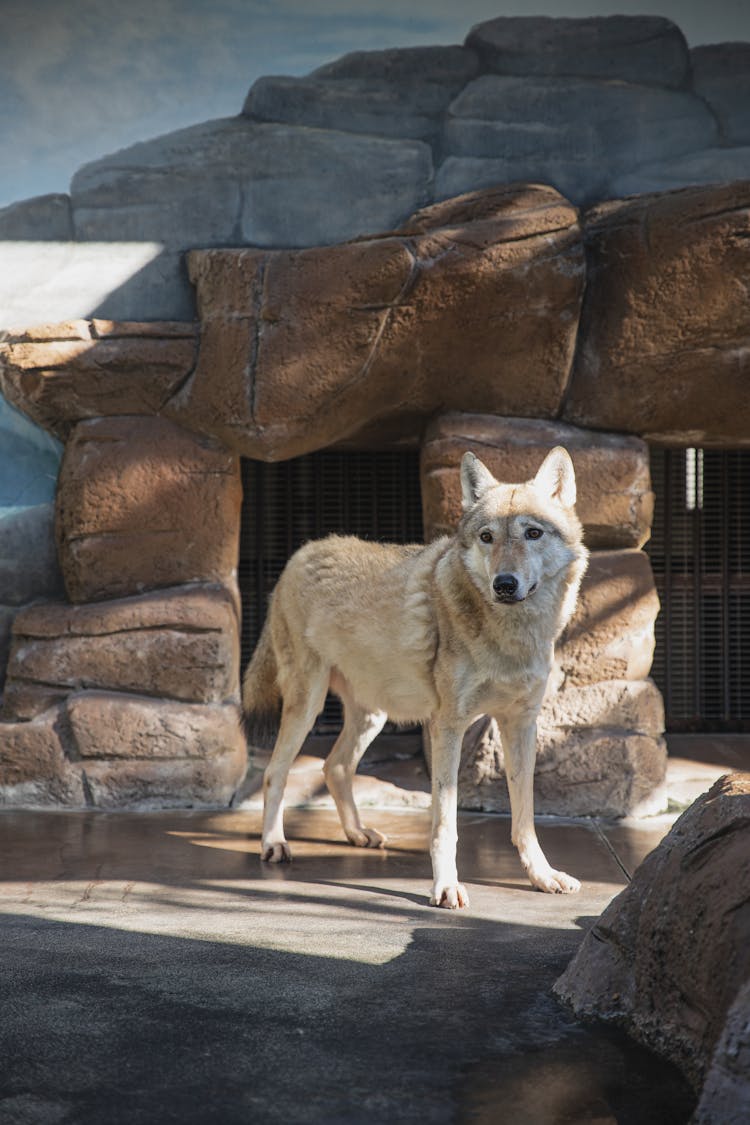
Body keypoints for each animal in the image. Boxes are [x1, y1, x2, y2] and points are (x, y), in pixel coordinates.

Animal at [244, 445, 589, 904]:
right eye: (487, 537)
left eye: (533, 533)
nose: (504, 584)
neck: (511, 638)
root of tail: (300, 553)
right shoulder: (447, 725)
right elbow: (445, 823)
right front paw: (446, 886)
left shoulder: (520, 724)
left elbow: (525, 819)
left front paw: (543, 876)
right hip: (308, 706)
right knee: (274, 773)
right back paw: (274, 844)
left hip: (373, 716)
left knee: (334, 766)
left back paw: (358, 834)